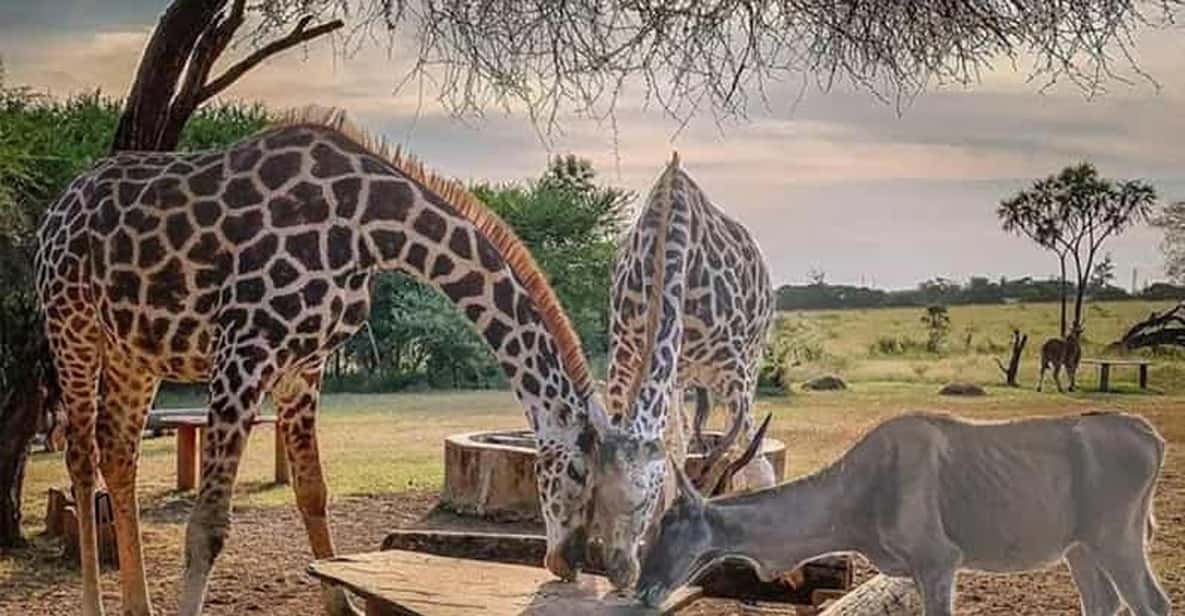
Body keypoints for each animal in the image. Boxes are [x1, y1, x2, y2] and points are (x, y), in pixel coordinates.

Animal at [34, 108, 614, 616]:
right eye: (578, 470)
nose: (568, 561)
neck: (371, 230)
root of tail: (55, 209)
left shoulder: (303, 367)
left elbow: (313, 492)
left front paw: (344, 605)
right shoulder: (243, 349)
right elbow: (208, 526)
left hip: (135, 353)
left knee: (119, 454)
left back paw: (138, 605)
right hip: (72, 326)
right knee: (82, 457)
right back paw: (94, 605)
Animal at [588, 154, 775, 589]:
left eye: (641, 500)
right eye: (594, 496)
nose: (619, 571)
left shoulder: (734, 371)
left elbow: (755, 460)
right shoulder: (628, 360)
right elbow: (673, 445)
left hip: (751, 359)